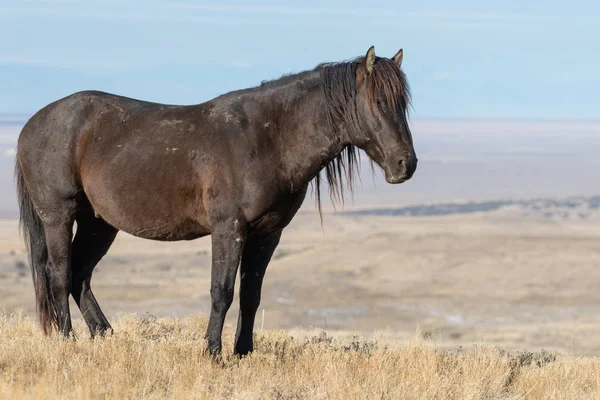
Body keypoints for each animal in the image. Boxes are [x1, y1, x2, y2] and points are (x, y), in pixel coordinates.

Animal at [15, 45, 418, 354]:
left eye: (403, 104)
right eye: (378, 102)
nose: (406, 165)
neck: (268, 138)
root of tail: (32, 124)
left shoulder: (268, 233)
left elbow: (251, 294)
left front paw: (243, 352)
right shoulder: (229, 227)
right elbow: (221, 290)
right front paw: (212, 351)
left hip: (99, 223)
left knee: (81, 275)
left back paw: (105, 336)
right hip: (58, 215)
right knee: (60, 275)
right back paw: (68, 343)